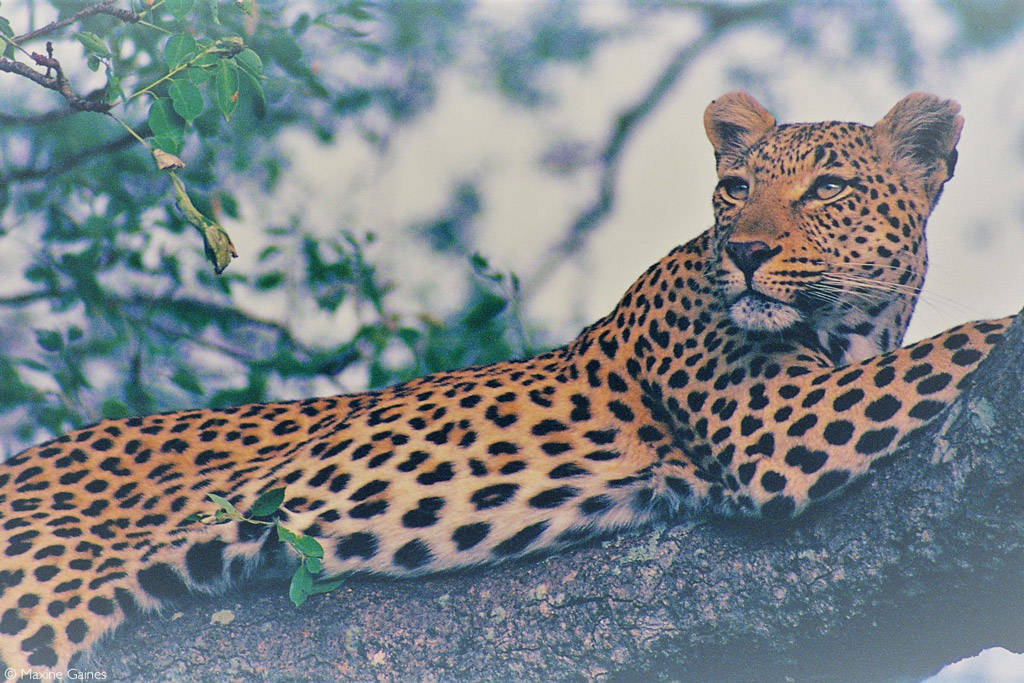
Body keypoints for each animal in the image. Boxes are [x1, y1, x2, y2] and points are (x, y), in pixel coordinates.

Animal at [0, 89, 1011, 671]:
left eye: (830, 188)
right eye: (734, 188)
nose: (747, 252)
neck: (854, 327)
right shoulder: (781, 424)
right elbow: (969, 336)